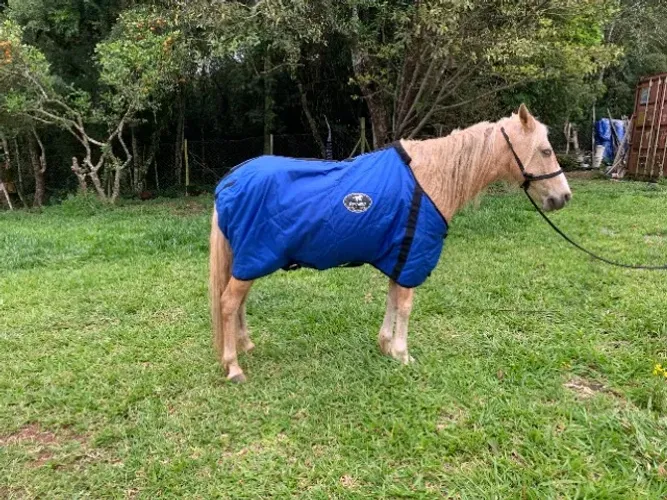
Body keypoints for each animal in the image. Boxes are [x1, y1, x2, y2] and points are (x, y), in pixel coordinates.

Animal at [209, 104, 572, 383]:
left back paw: (244, 345)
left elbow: (392, 299)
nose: (563, 197)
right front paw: (402, 353)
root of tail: (229, 182)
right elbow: (406, 304)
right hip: (254, 258)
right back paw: (233, 366)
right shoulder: (412, 258)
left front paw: (385, 345)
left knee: (238, 304)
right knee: (228, 304)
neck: (428, 179)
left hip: (248, 261)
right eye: (546, 150)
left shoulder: (399, 254)